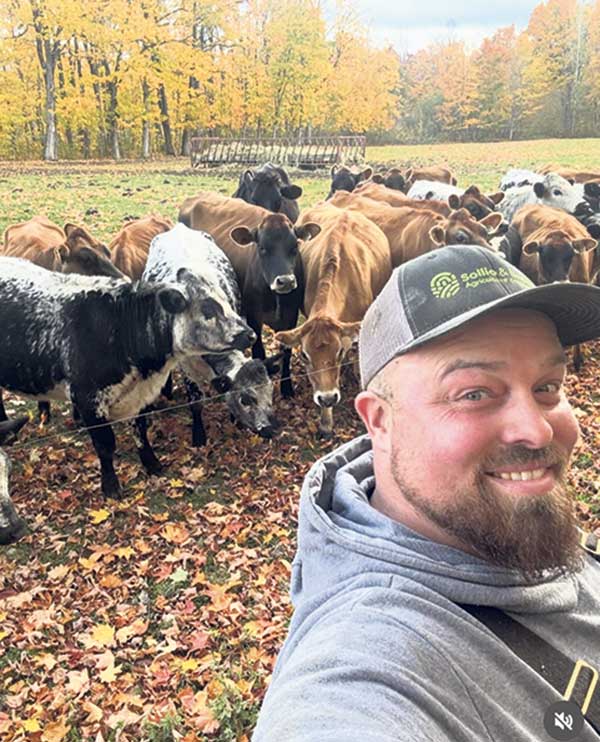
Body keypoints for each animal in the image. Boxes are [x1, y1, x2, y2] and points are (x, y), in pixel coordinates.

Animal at [0, 238, 254, 500]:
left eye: (225, 300)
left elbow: (140, 432)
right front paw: (110, 486)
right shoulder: (87, 398)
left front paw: (152, 464)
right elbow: (105, 445)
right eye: (208, 310)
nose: (250, 334)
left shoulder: (139, 398)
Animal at [177, 195, 322, 398]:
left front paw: (286, 387)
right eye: (262, 248)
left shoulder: (291, 314)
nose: (285, 281)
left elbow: (286, 351)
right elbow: (259, 351)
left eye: (295, 247)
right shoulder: (254, 316)